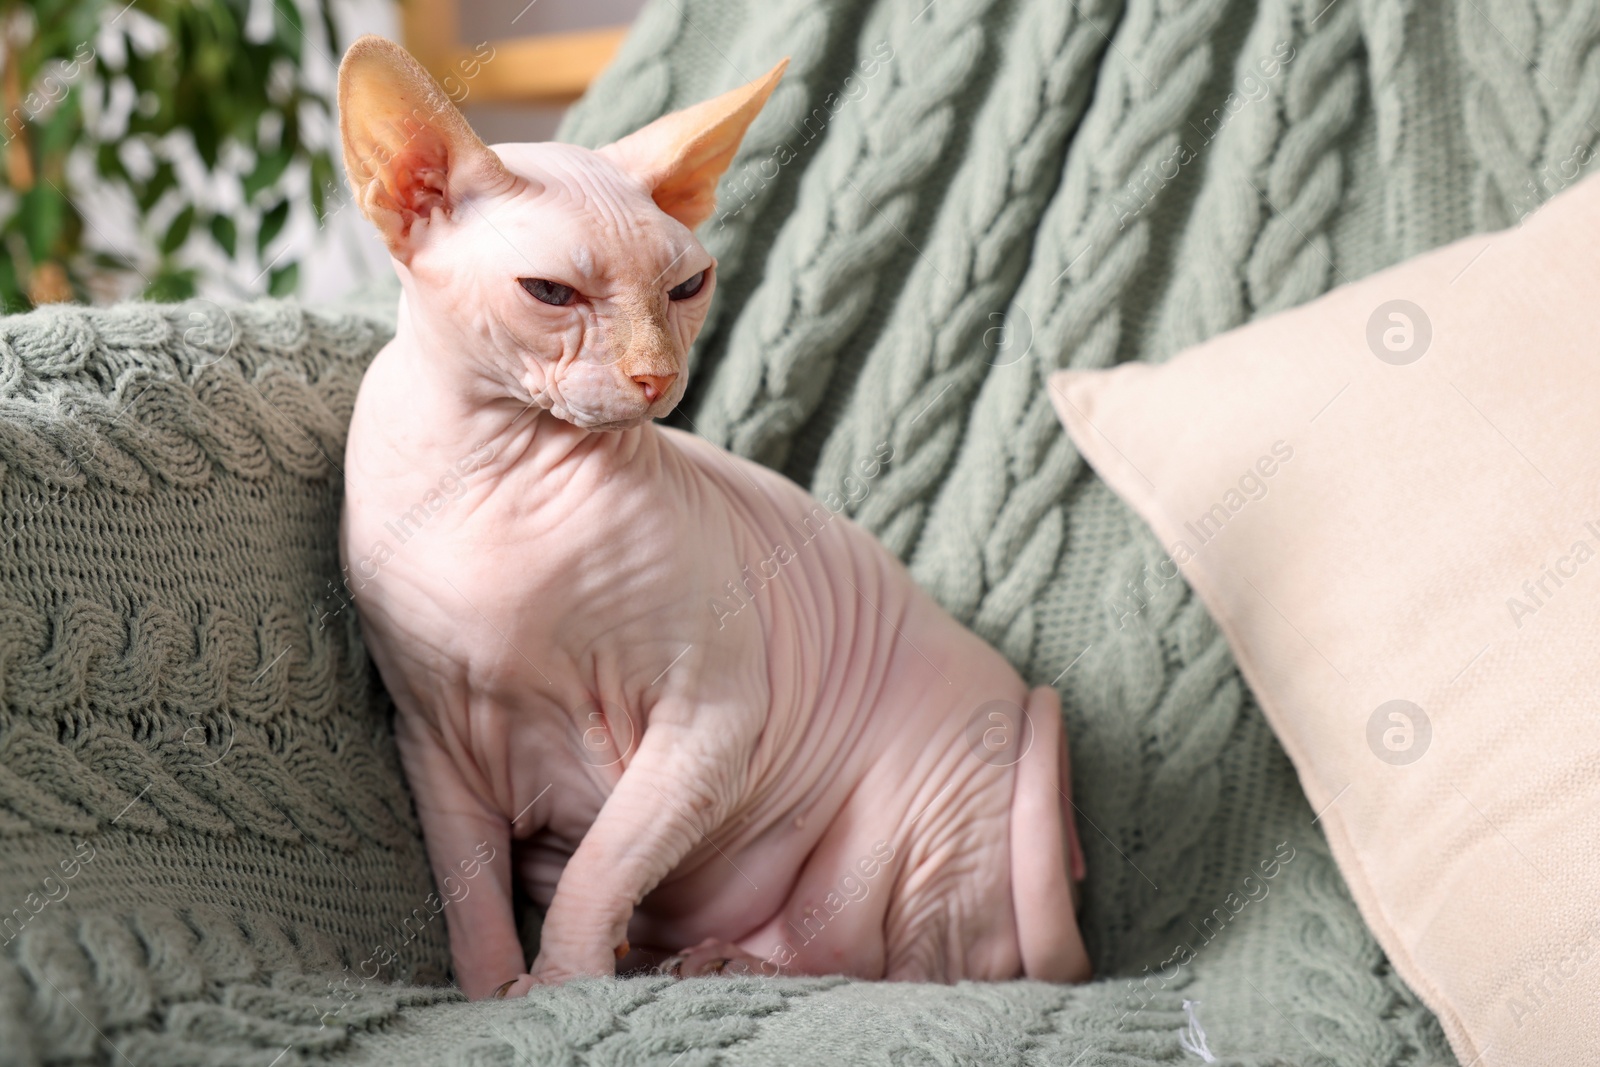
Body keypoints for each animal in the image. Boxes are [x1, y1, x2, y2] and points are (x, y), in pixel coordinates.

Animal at [334, 35, 1088, 1004]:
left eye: (689, 285)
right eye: (550, 293)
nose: (657, 376)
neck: (487, 468)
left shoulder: (711, 720)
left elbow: (601, 862)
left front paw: (565, 983)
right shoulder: (430, 737)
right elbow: (471, 899)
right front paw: (494, 995)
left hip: (932, 821)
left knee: (910, 971)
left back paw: (731, 962)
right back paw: (707, 957)